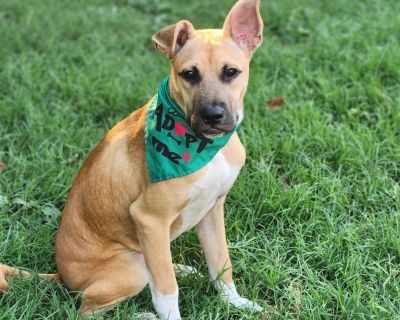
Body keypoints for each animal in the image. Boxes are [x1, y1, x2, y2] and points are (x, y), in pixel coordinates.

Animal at [0, 0, 266, 318]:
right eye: (189, 74)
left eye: (231, 72)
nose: (213, 116)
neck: (204, 147)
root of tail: (62, 277)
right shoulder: (149, 219)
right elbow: (166, 290)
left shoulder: (213, 208)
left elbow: (220, 263)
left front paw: (234, 302)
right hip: (131, 267)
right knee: (89, 308)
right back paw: (142, 313)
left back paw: (183, 270)